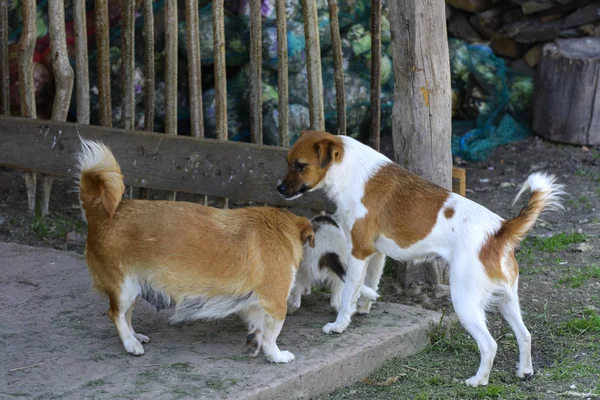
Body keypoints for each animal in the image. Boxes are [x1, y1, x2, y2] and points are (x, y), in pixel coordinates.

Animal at [77, 139, 316, 364]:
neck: (280, 227)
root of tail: (99, 213)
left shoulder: (254, 304)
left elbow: (259, 329)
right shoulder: (276, 303)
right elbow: (271, 336)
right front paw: (277, 356)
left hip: (134, 287)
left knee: (126, 315)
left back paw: (135, 337)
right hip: (124, 288)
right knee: (115, 314)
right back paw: (130, 343)